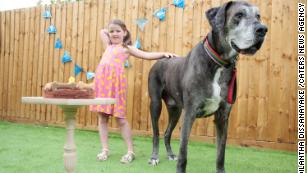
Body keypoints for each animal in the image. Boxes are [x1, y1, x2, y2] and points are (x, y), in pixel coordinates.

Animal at [149, 1, 268, 173]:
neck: (219, 63)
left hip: (175, 110)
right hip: (155, 104)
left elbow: (220, 153)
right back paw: (154, 157)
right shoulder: (190, 113)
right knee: (156, 133)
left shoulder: (223, 117)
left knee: (166, 133)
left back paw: (170, 154)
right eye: (238, 15)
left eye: (258, 16)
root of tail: (161, 60)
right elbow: (184, 152)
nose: (263, 29)